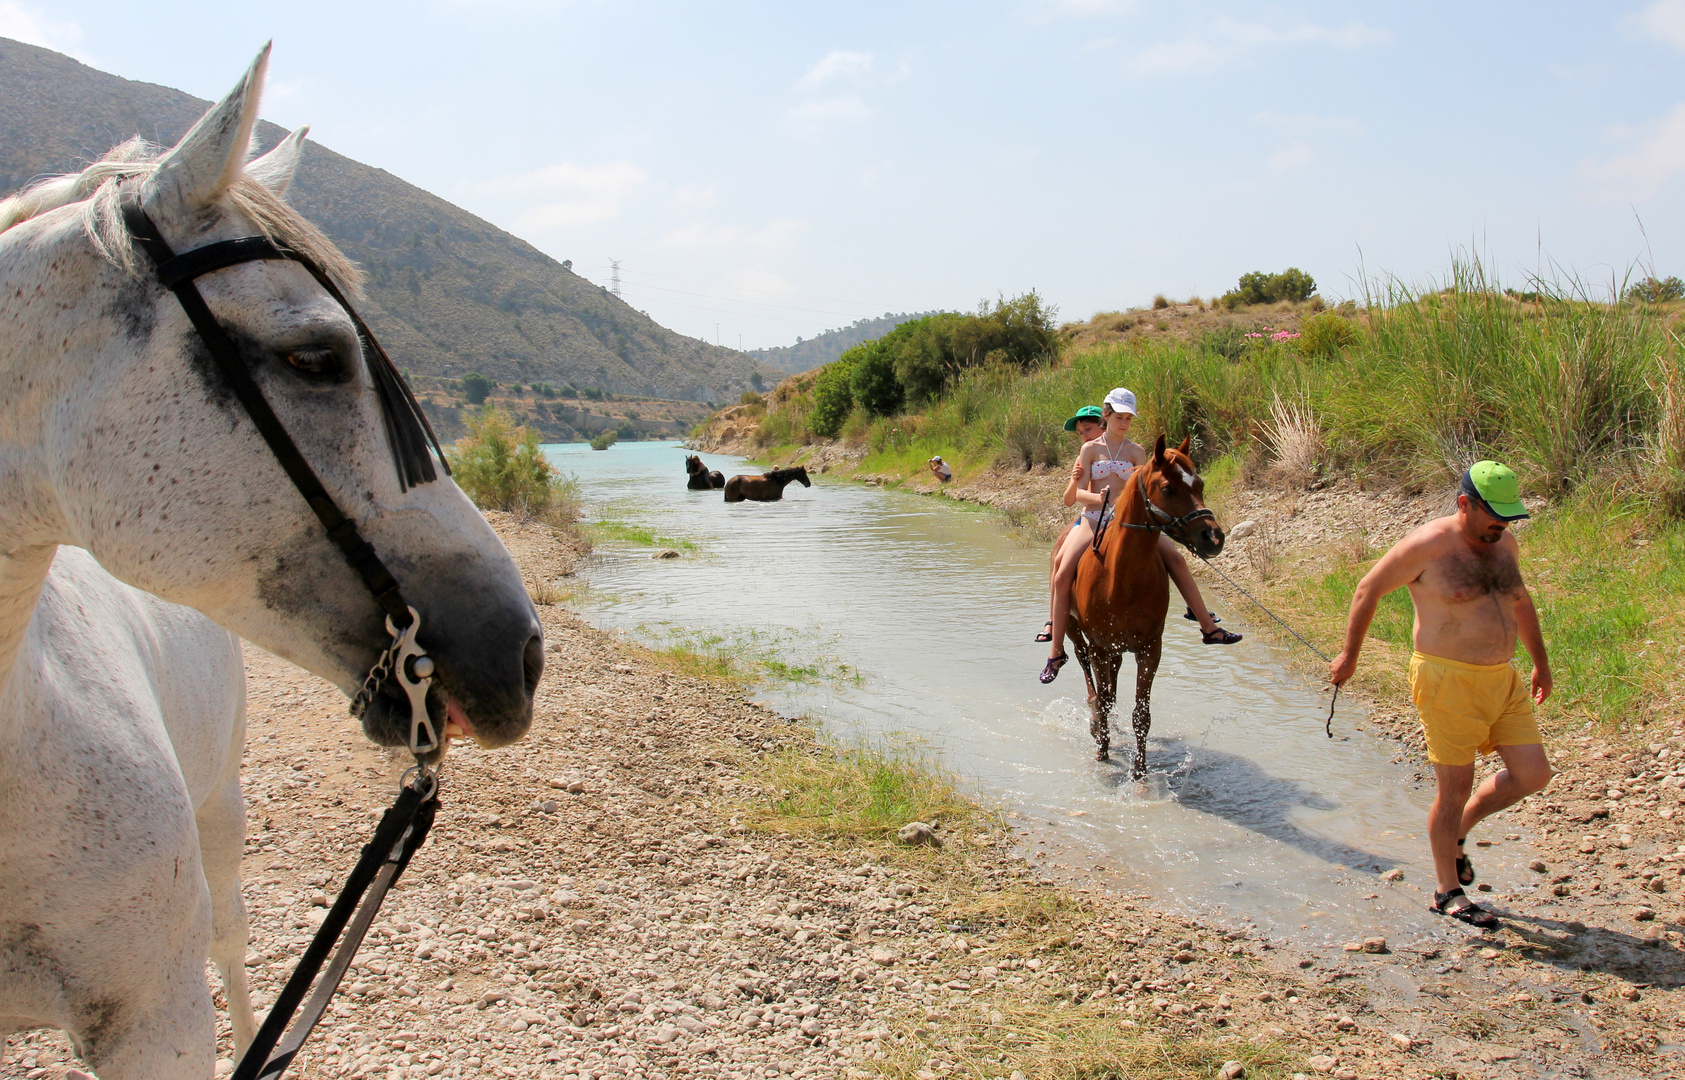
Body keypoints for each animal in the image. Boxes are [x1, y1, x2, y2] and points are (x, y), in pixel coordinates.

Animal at [1078, 434, 1226, 771]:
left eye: (1200, 485)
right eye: (1169, 488)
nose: (1213, 537)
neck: (1120, 579)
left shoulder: (1149, 649)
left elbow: (1141, 715)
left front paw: (1140, 772)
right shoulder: (1099, 647)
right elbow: (1103, 699)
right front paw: (1102, 752)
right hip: (1076, 634)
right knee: (1087, 676)